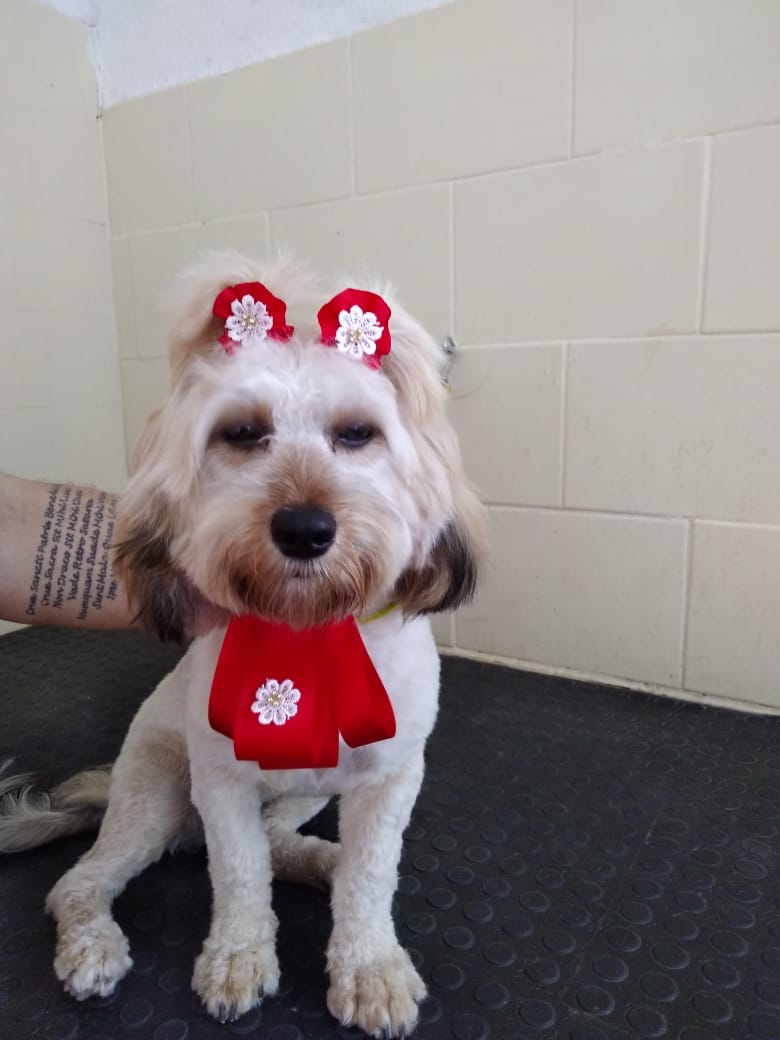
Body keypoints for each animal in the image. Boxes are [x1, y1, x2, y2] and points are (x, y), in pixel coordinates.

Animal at [0, 253, 486, 1040]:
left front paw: (370, 968)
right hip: (156, 795)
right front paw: (237, 960)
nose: (305, 528)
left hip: (306, 792)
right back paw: (92, 944)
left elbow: (370, 877)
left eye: (358, 432)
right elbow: (236, 874)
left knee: (284, 841)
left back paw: (318, 859)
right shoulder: (223, 780)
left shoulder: (387, 779)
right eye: (242, 432)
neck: (307, 629)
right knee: (80, 882)